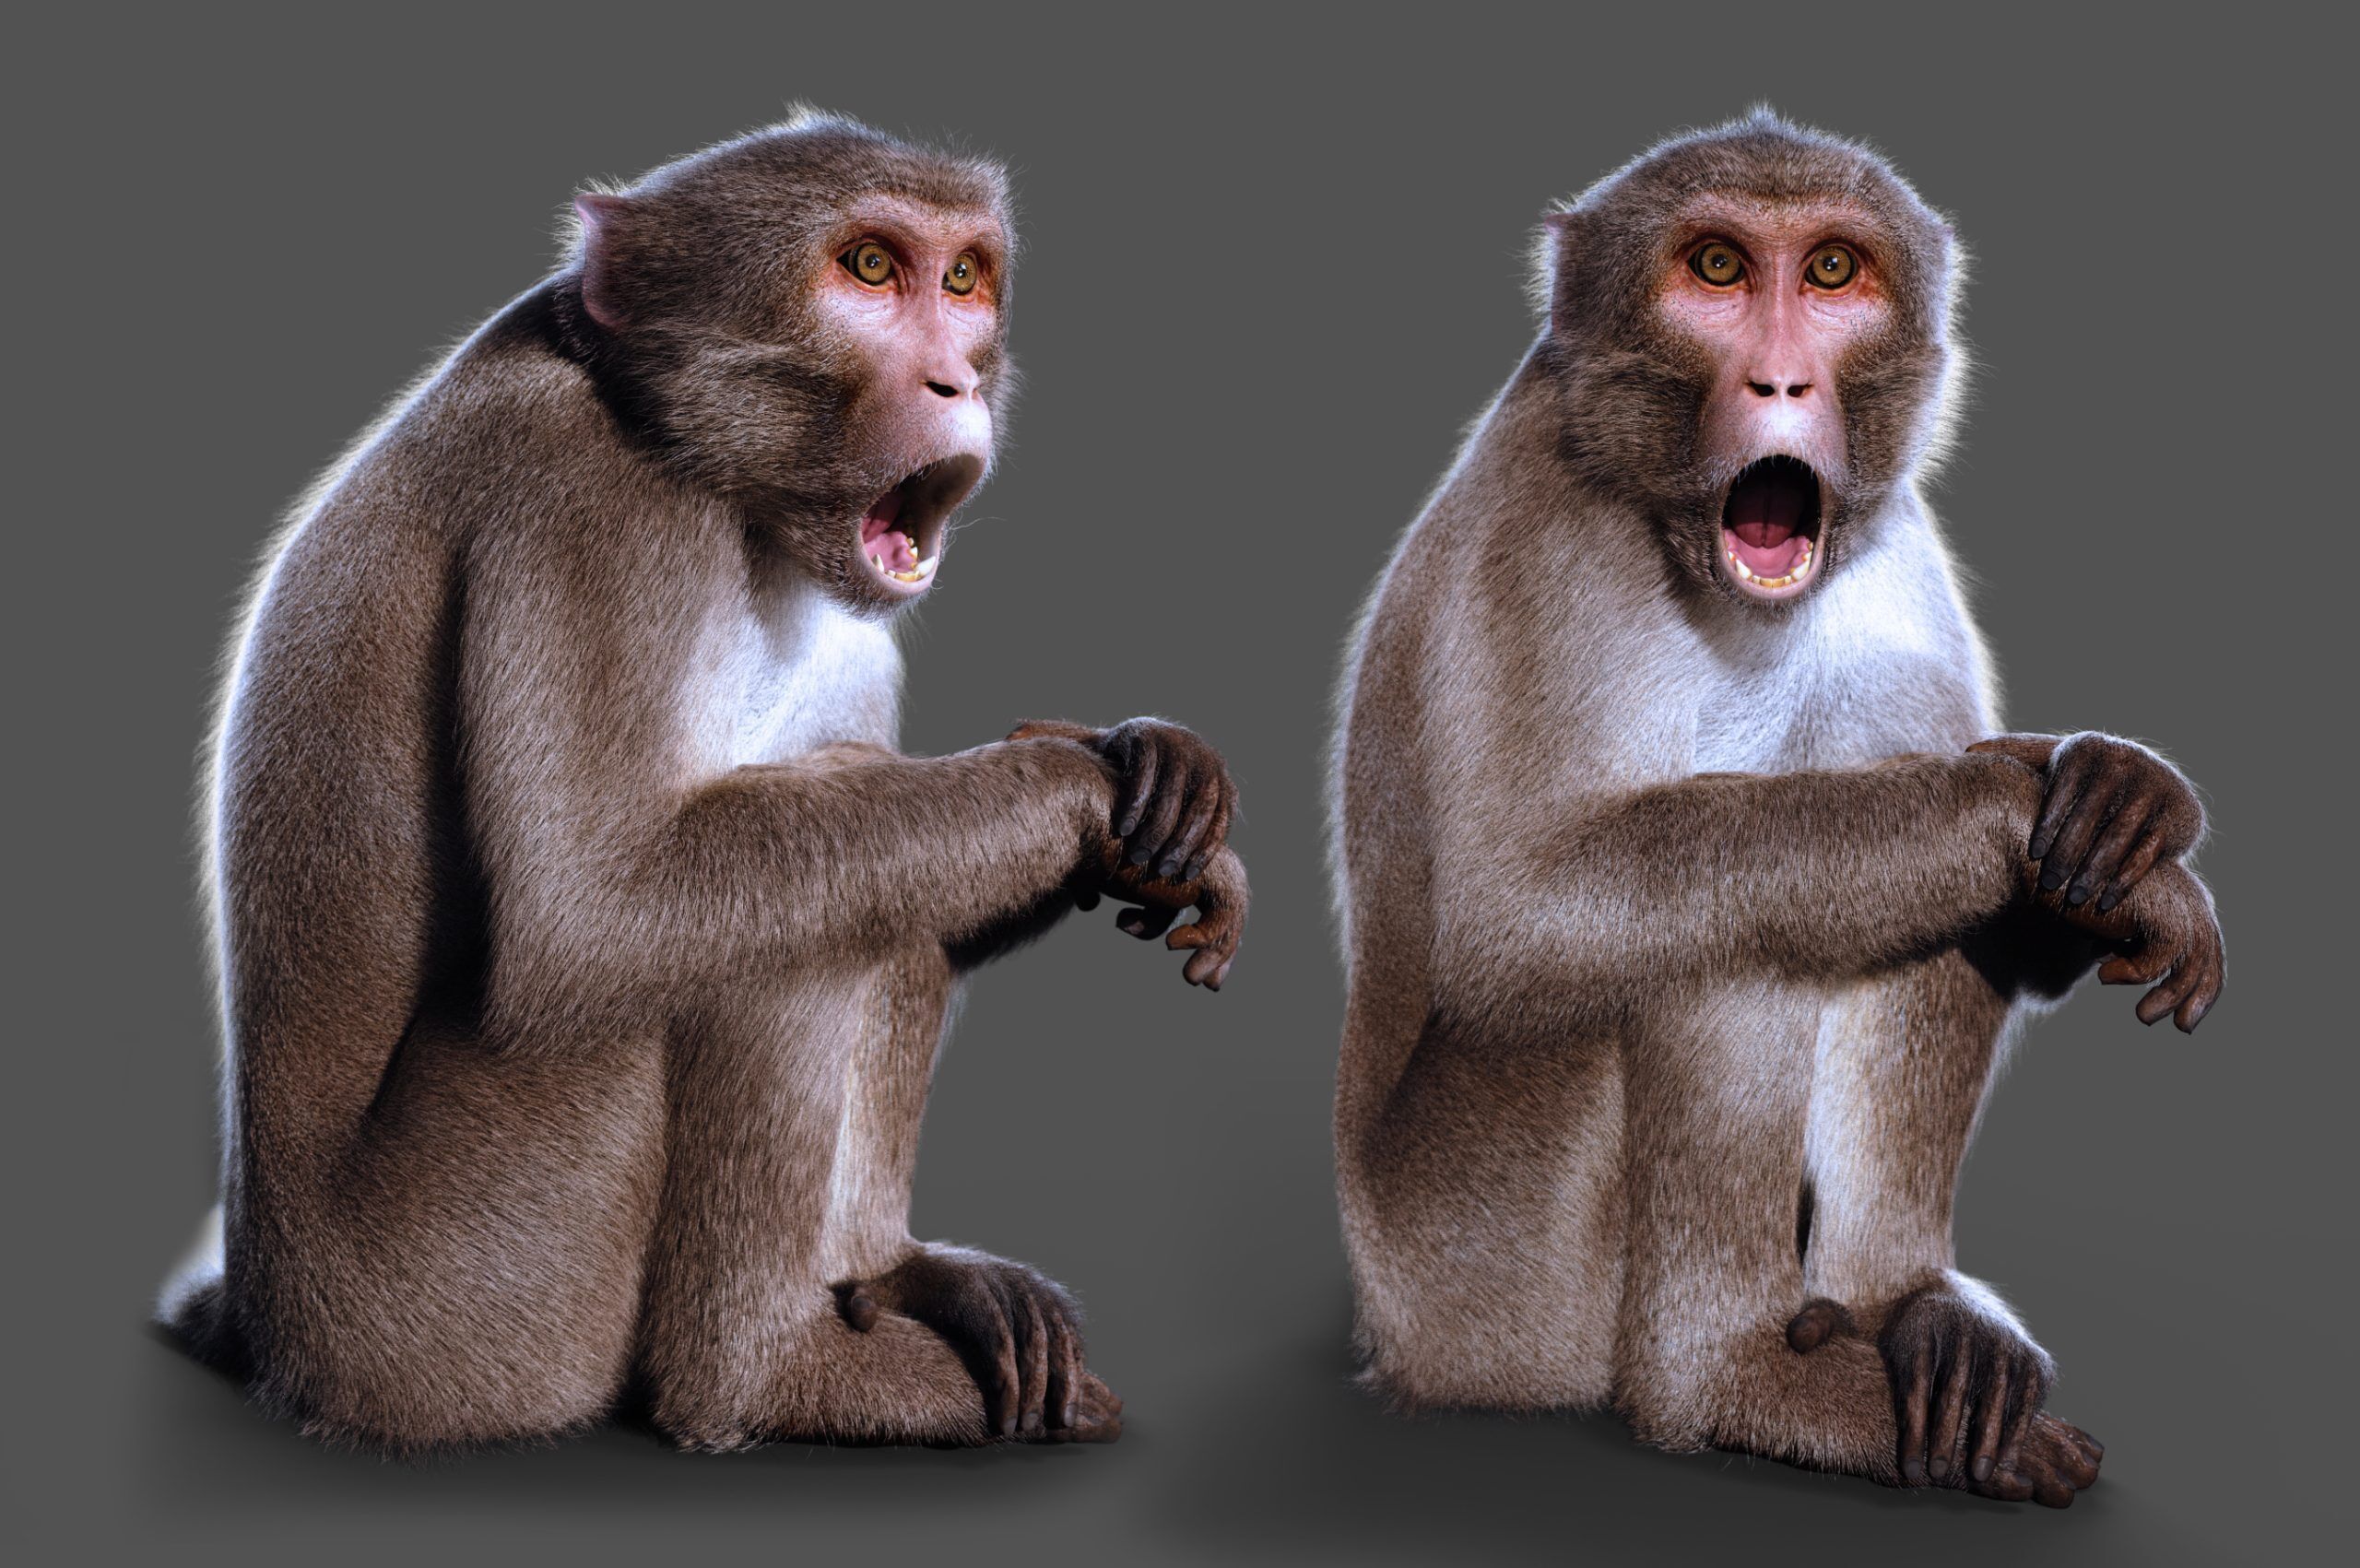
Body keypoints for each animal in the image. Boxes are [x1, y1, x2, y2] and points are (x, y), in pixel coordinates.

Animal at [157, 113, 1247, 1455]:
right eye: (869, 268)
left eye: (964, 280)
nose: (956, 380)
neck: (674, 448)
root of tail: (269, 1328)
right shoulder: (581, 506)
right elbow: (595, 913)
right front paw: (1077, 790)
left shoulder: (848, 623)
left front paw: (1137, 769)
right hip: (459, 1314)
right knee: (765, 932)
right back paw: (764, 1378)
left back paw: (883, 1283)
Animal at [1330, 111, 2222, 1507]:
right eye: (1715, 268)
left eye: (1833, 273)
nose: (1783, 387)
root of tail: (1384, 1328)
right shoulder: (1548, 544)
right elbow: (1521, 917)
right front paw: (2016, 811)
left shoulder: (1897, 560)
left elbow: (2025, 896)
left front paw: (2112, 800)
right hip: (1479, 1282)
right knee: (1717, 946)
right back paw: (1731, 1383)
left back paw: (1913, 1318)